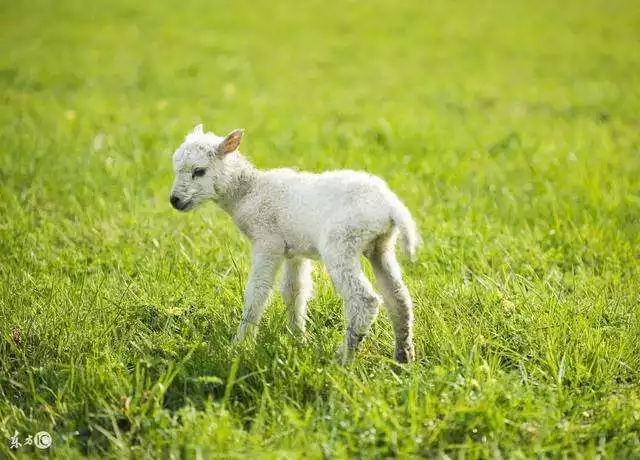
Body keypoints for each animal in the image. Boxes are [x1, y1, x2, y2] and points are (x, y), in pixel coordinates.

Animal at [170, 125, 420, 362]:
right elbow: (294, 291)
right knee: (398, 297)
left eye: (199, 171)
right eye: (176, 169)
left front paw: (240, 345)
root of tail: (391, 206)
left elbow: (257, 292)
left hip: (341, 243)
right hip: (381, 246)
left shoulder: (267, 242)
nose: (174, 200)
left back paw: (343, 359)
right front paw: (299, 339)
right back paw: (403, 356)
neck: (249, 193)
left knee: (364, 300)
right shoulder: (294, 251)